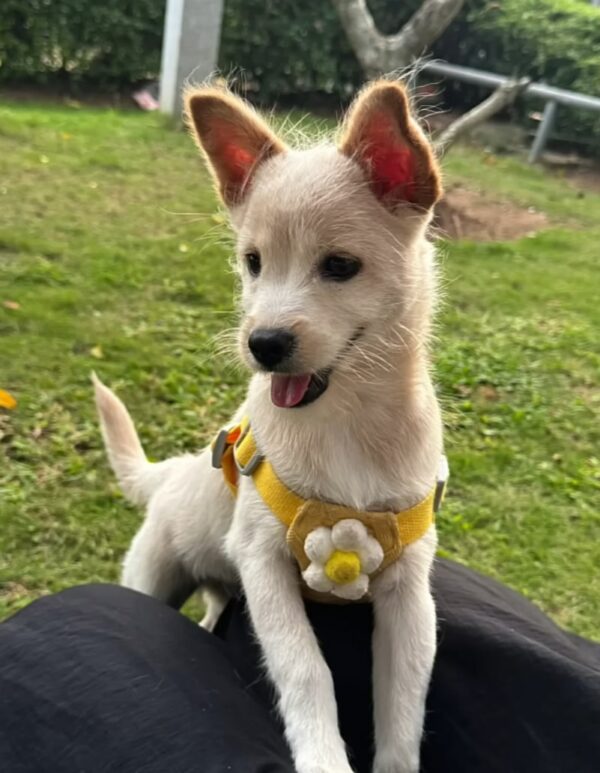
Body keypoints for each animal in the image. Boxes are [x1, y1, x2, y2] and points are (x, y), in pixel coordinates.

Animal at [94, 80, 448, 772]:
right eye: (253, 262)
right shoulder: (263, 565)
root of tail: (172, 473)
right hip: (155, 573)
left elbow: (405, 703)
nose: (262, 344)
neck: (347, 428)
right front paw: (323, 757)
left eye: (339, 266)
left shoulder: (408, 591)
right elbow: (306, 668)